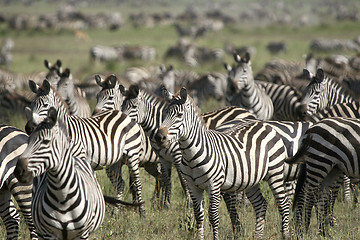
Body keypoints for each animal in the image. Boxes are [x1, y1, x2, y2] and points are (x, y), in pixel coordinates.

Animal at [13, 108, 105, 239]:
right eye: (28, 141)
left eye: (46, 142)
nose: (19, 170)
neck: (62, 196)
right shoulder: (48, 234)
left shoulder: (82, 234)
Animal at [24, 79, 146, 216]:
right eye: (32, 104)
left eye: (45, 105)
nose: (29, 128)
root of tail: (122, 113)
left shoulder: (78, 158)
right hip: (114, 162)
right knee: (120, 184)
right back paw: (115, 212)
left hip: (132, 155)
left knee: (137, 183)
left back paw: (142, 213)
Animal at [155, 87, 290, 240]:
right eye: (165, 113)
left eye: (179, 115)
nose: (159, 137)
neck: (191, 156)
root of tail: (263, 123)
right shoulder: (193, 187)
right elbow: (199, 216)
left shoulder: (213, 186)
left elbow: (213, 217)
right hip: (251, 180)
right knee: (261, 204)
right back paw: (258, 236)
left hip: (275, 173)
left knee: (283, 204)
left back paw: (286, 235)